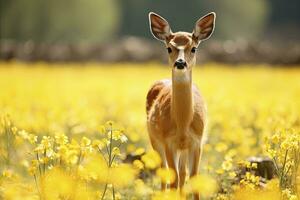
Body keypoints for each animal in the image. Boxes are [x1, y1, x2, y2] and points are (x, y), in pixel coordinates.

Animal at [146, 11, 214, 199]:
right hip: (154, 139)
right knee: (164, 172)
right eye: (169, 48)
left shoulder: (197, 141)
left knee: (183, 174)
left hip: (182, 149)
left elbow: (193, 177)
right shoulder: (168, 141)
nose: (180, 63)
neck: (183, 124)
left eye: (194, 48)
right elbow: (173, 177)